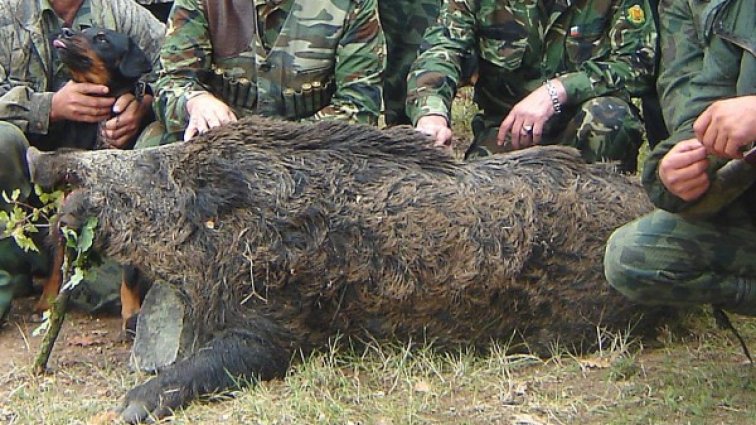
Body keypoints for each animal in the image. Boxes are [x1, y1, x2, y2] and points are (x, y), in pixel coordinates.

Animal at [35, 27, 154, 334]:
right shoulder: (66, 207)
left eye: (102, 38)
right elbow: (57, 261)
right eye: (83, 29)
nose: (65, 30)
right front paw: (47, 301)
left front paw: (131, 312)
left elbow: (130, 271)